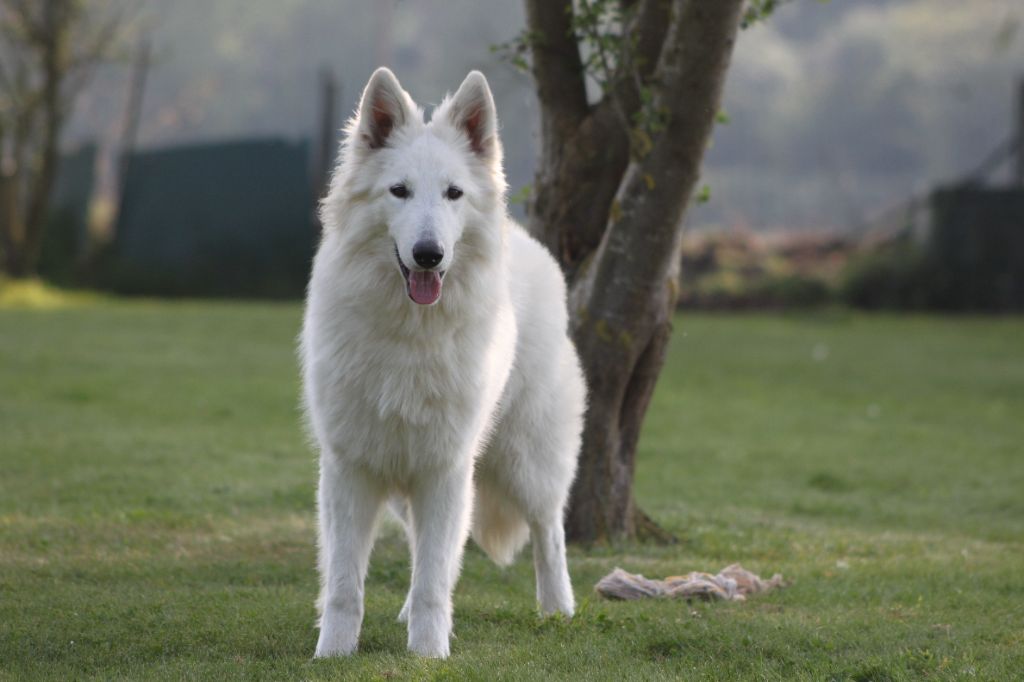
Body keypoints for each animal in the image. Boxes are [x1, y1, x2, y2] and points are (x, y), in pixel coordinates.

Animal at [299, 66, 585, 655]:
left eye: (454, 193)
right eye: (399, 191)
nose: (429, 255)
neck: (410, 333)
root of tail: (525, 241)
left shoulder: (446, 469)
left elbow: (434, 576)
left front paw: (429, 655)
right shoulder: (350, 468)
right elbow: (345, 582)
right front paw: (333, 652)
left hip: (527, 458)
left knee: (549, 531)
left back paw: (558, 609)